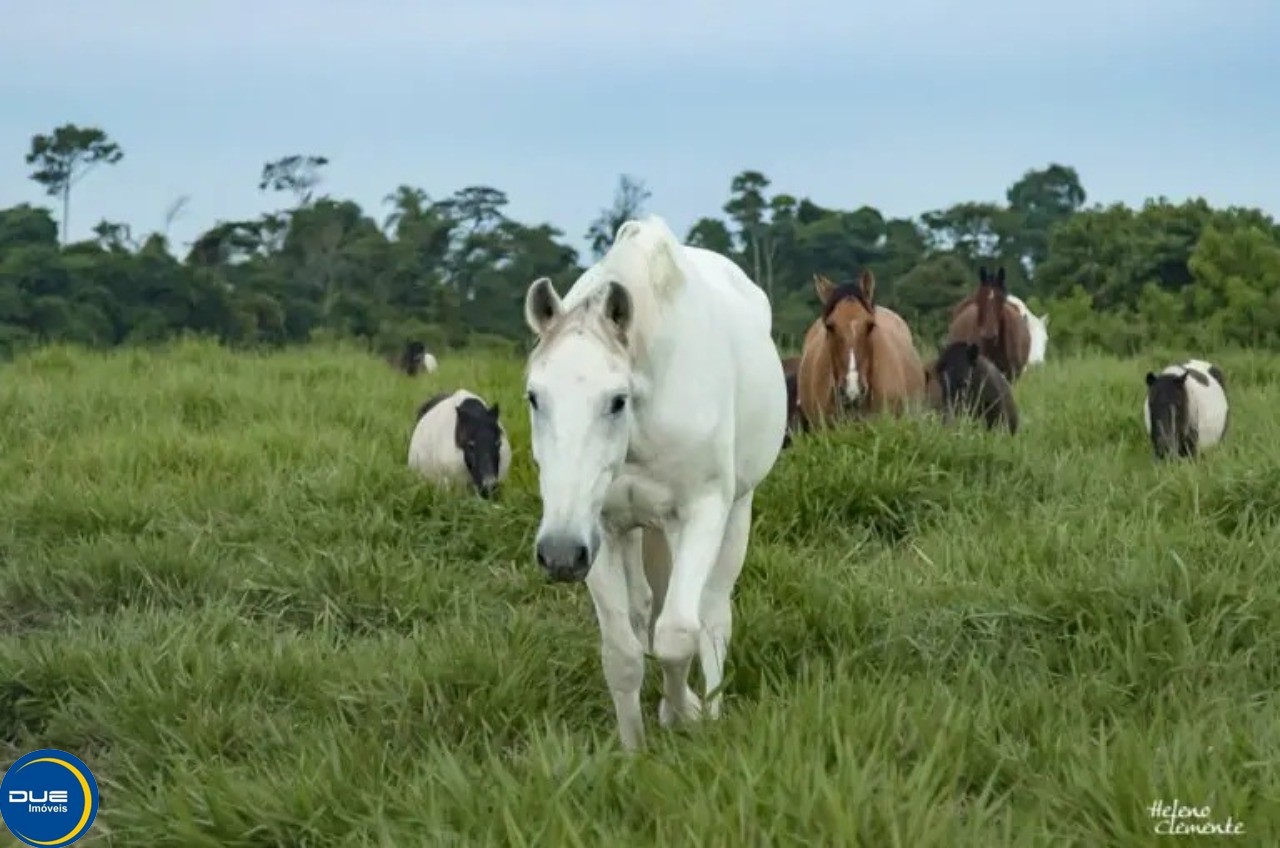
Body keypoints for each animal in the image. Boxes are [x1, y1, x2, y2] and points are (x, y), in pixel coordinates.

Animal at [522, 212, 788, 753]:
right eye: (535, 397)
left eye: (616, 400)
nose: (557, 555)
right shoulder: (599, 528)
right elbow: (622, 653)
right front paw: (635, 750)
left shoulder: (701, 511)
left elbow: (678, 634)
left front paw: (683, 712)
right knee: (646, 607)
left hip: (735, 512)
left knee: (712, 611)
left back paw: (711, 706)